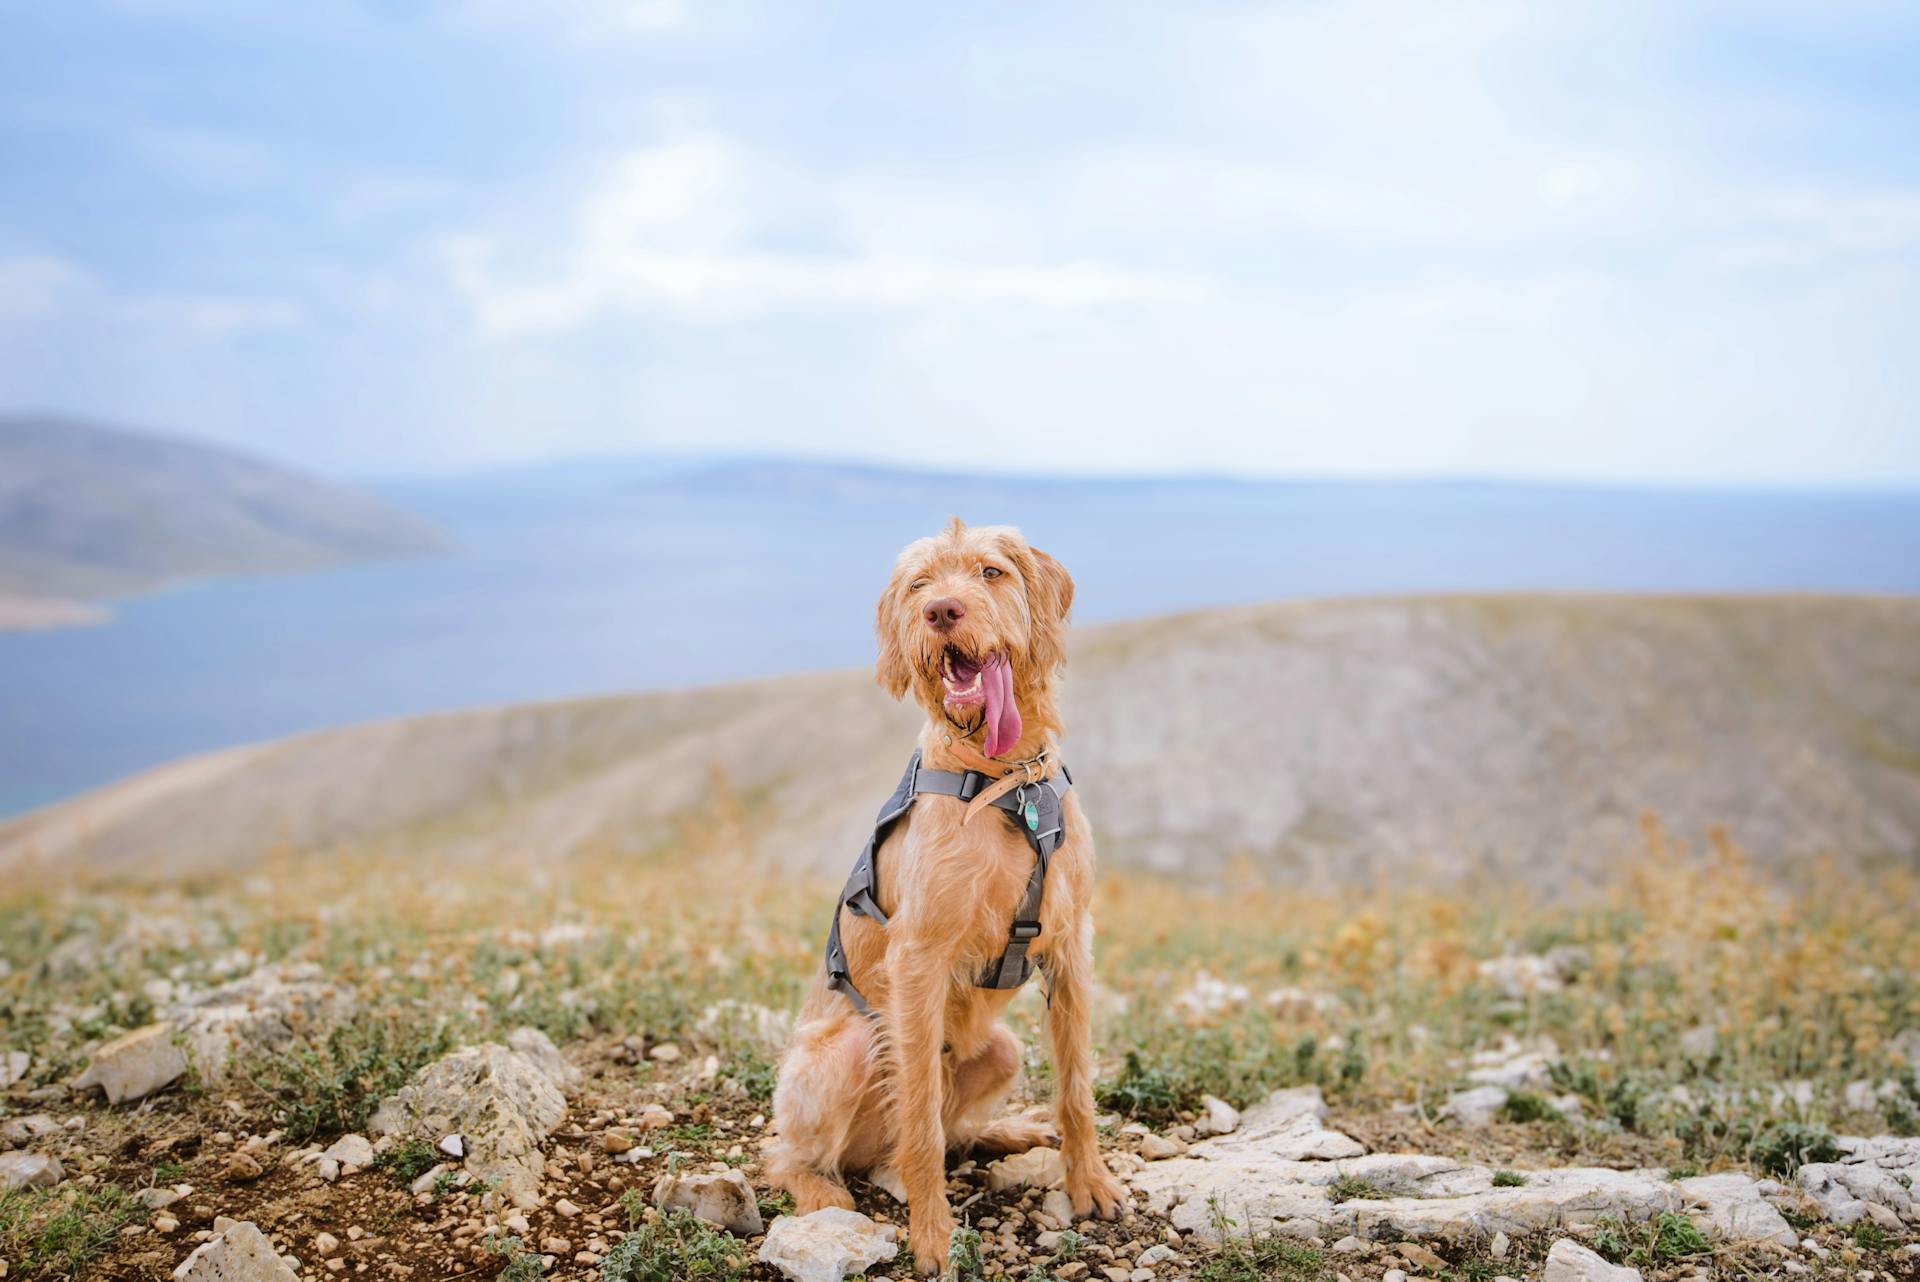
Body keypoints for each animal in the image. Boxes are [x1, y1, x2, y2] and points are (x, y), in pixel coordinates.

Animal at [764, 518, 1121, 1274]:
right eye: (920, 585)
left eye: (990, 572)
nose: (941, 613)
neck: (1004, 778)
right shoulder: (919, 960)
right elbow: (921, 1123)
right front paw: (932, 1235)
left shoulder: (1071, 945)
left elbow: (1076, 1088)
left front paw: (1090, 1182)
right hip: (849, 1049)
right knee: (791, 1153)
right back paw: (821, 1190)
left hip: (1002, 1050)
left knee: (954, 1128)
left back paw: (1005, 1133)